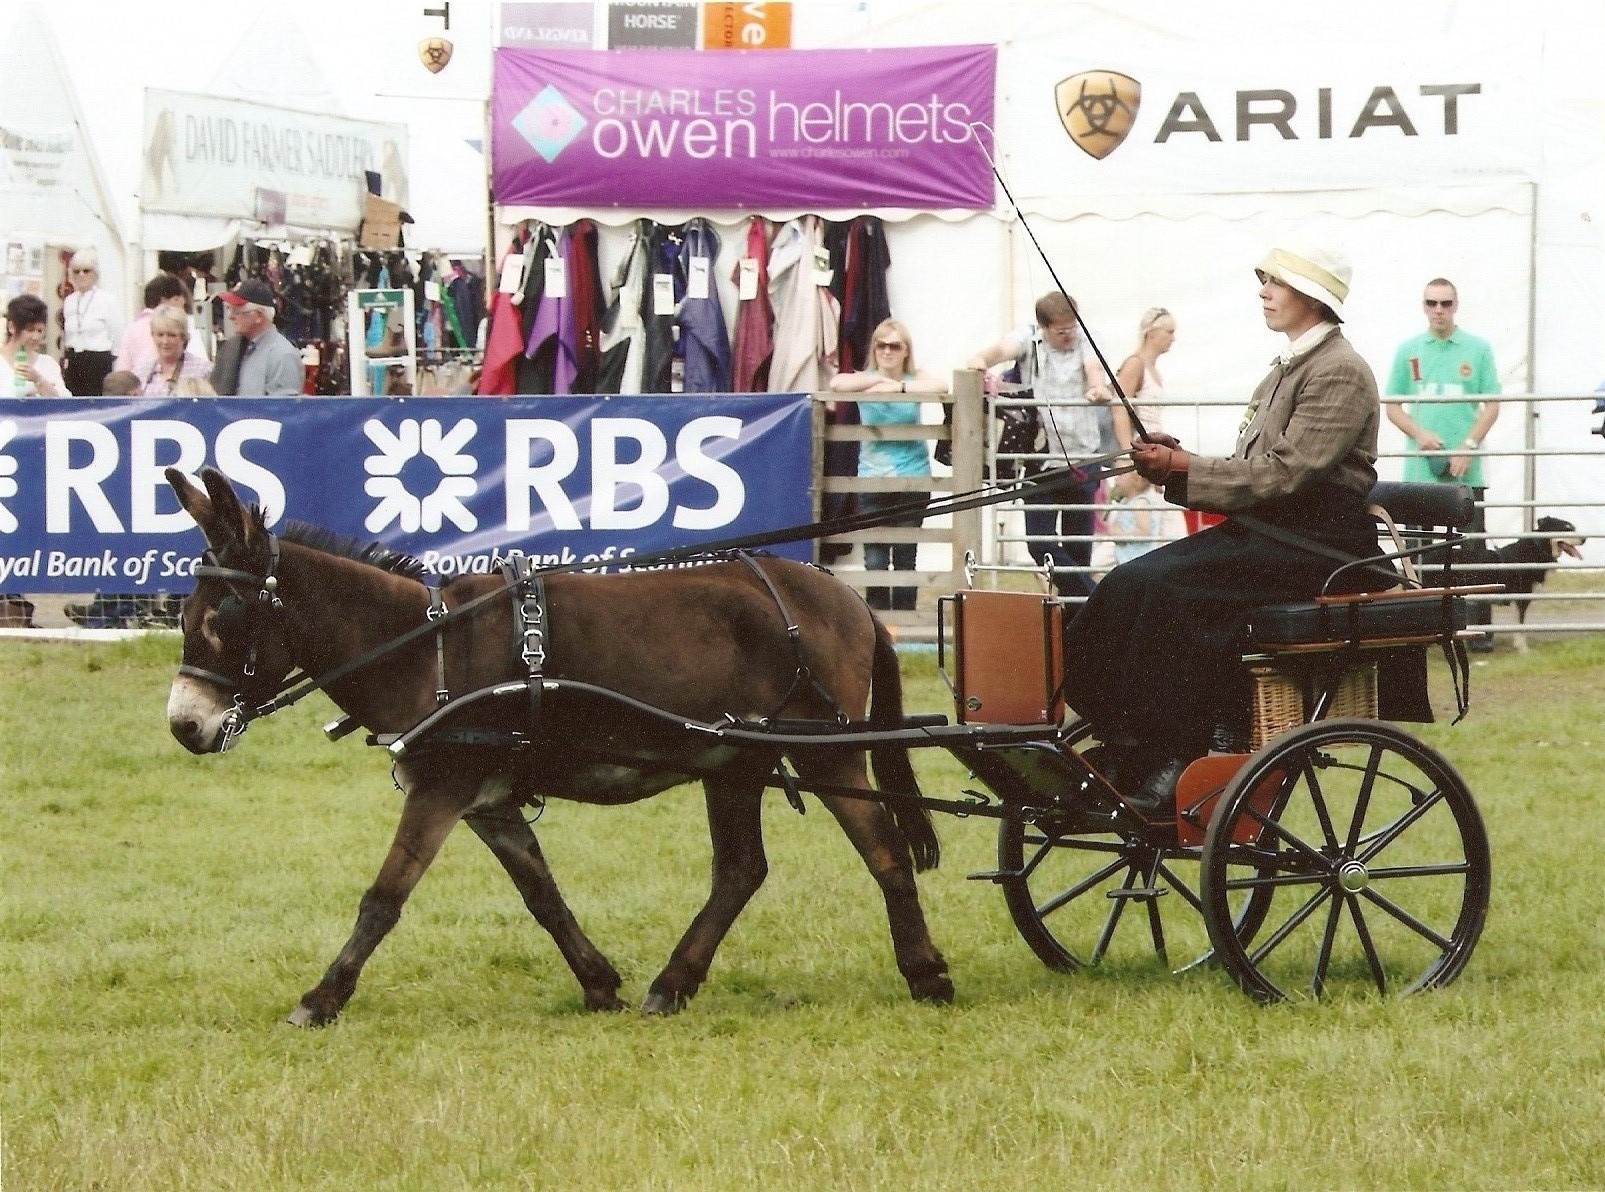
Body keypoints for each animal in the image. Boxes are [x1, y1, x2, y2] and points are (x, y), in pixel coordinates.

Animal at [1438, 516, 1585, 651]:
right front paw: (1523, 649)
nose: (1584, 539)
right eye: (1567, 528)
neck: (1538, 548)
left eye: (1573, 527)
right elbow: (1520, 624)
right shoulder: (1522, 597)